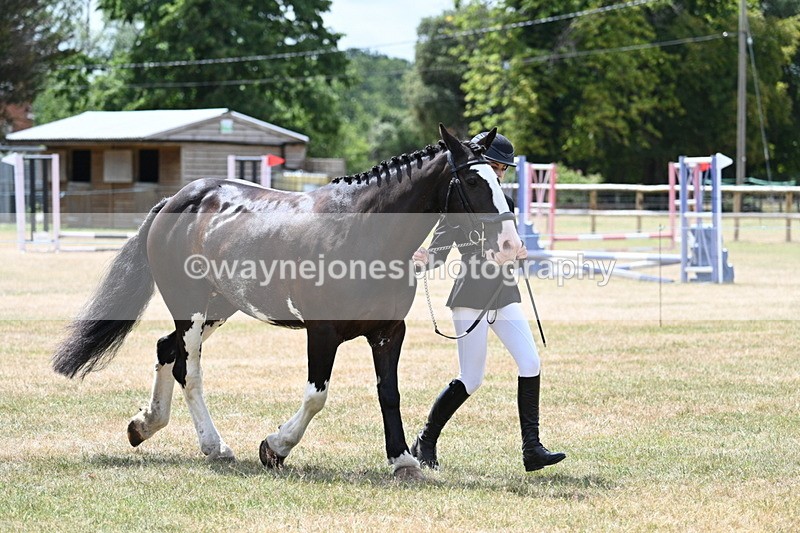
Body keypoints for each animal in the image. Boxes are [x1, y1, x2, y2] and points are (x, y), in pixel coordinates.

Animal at [51, 124, 522, 479]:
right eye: (472, 181)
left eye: (499, 180)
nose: (510, 245)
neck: (364, 232)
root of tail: (176, 201)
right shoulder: (323, 332)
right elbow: (316, 396)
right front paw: (275, 447)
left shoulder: (389, 332)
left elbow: (389, 393)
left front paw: (403, 459)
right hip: (192, 308)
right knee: (189, 369)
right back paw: (215, 446)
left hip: (219, 307)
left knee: (167, 349)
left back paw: (145, 425)